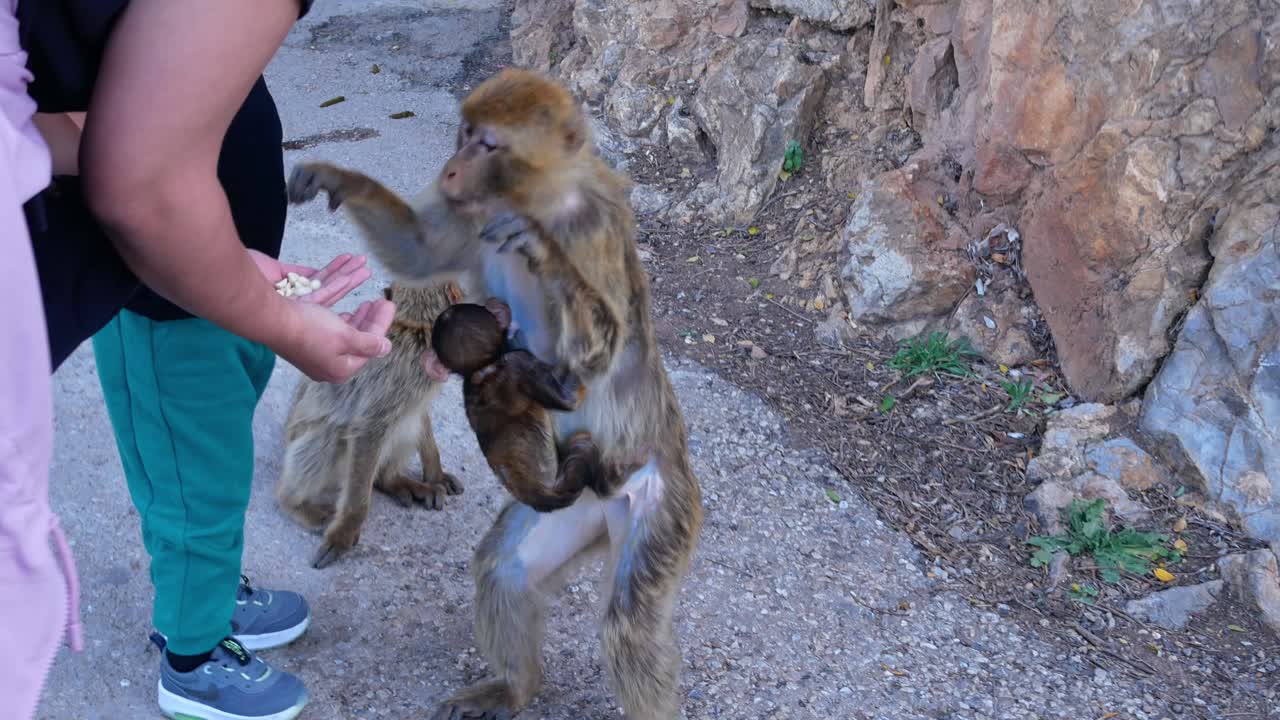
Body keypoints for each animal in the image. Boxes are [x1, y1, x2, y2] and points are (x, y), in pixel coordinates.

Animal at [275, 280, 466, 569]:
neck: (415, 328)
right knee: (331, 434)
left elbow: (418, 413)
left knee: (407, 424)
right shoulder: (402, 377)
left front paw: (435, 472)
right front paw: (345, 531)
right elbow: (368, 430)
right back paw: (293, 502)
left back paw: (391, 480)